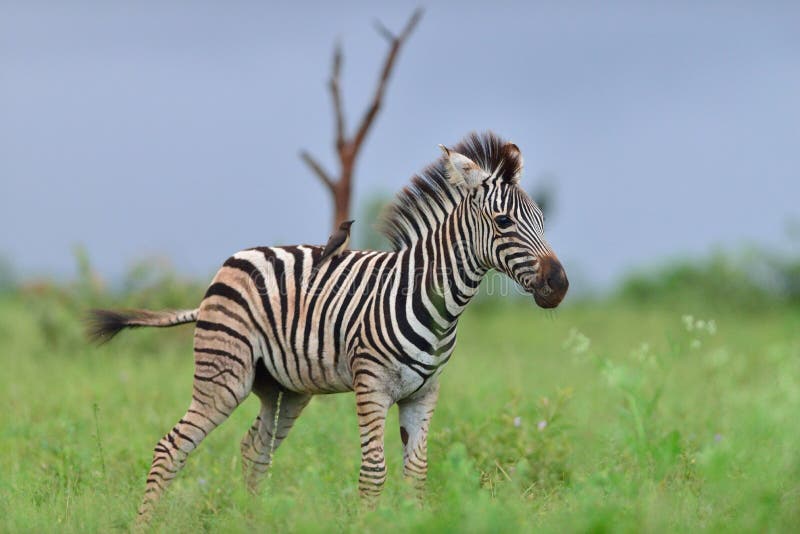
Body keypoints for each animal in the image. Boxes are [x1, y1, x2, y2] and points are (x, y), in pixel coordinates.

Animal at [88, 131, 568, 523]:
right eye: (504, 223)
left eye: (543, 221)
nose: (560, 285)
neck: (434, 303)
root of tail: (226, 267)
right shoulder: (371, 385)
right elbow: (374, 473)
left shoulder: (423, 394)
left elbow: (416, 473)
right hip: (224, 376)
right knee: (172, 446)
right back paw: (144, 524)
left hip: (284, 389)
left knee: (254, 450)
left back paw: (251, 521)